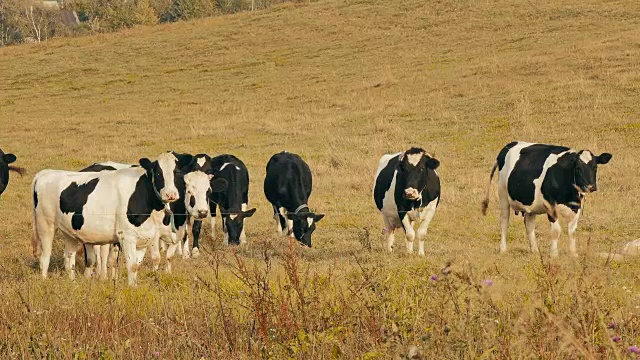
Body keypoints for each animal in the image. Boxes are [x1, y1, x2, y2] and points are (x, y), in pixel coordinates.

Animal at [30, 150, 225, 286]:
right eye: (158, 173)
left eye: (177, 172)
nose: (170, 194)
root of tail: (45, 173)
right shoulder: (128, 236)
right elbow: (137, 264)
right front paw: (133, 288)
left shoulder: (146, 237)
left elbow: (140, 264)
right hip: (45, 225)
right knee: (45, 256)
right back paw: (45, 281)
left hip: (70, 232)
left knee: (69, 256)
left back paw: (73, 282)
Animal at [482, 141, 612, 256]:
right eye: (578, 168)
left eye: (595, 167)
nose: (591, 186)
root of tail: (509, 145)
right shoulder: (550, 204)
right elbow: (556, 231)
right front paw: (554, 254)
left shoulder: (576, 206)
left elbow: (572, 231)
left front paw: (573, 254)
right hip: (503, 193)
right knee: (504, 220)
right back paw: (503, 249)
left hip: (530, 202)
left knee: (529, 224)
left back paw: (535, 250)